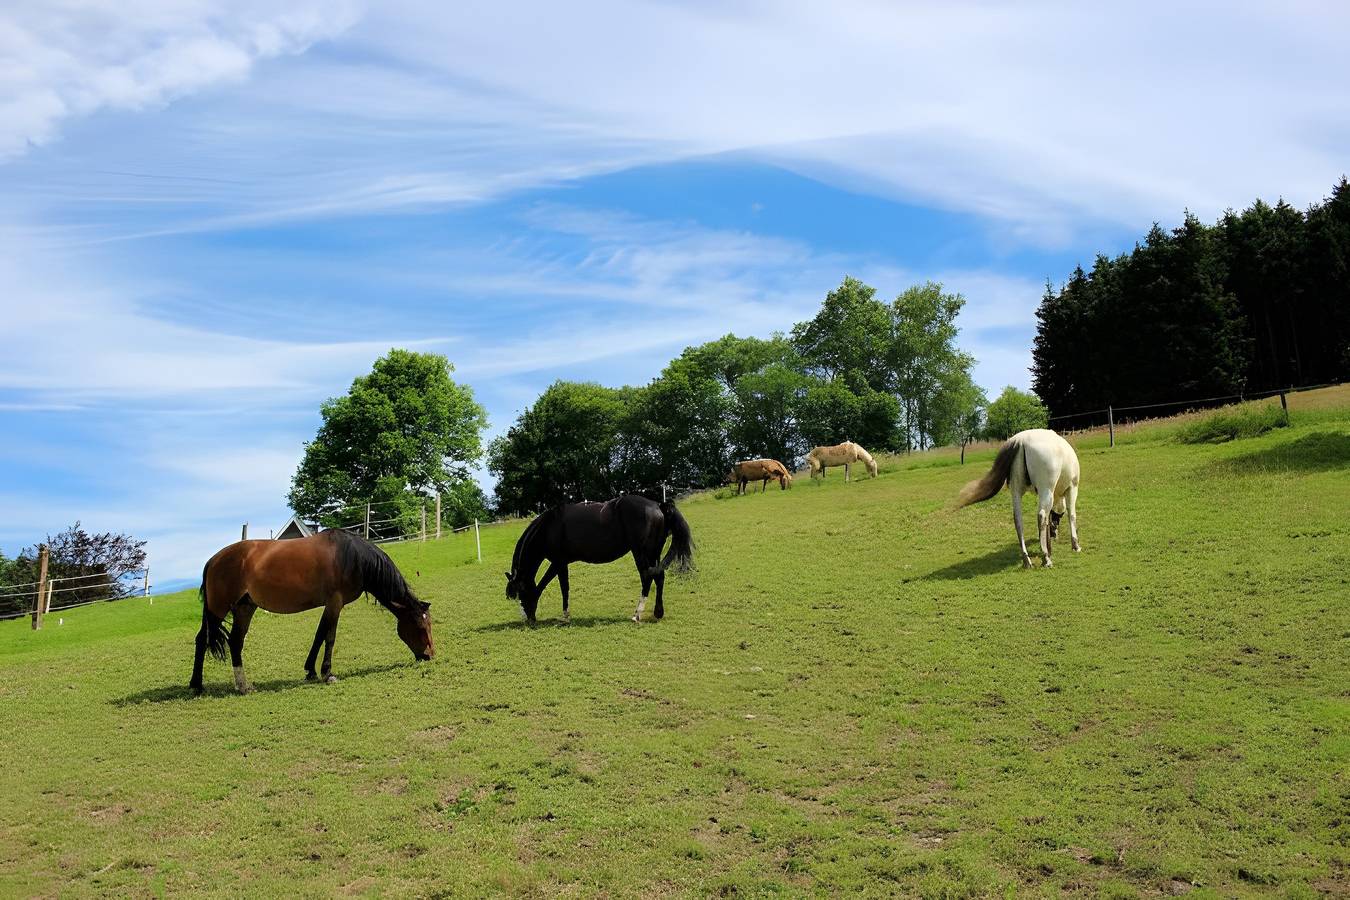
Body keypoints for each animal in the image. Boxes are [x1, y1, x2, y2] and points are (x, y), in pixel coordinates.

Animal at [190, 530, 433, 695]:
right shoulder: (335, 602)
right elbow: (329, 637)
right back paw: (196, 685)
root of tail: (213, 560)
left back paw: (243, 686)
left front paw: (311, 671)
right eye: (419, 627)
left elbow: (319, 635)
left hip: (245, 608)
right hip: (218, 608)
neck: (351, 556)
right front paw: (327, 673)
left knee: (235, 642)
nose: (429, 655)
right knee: (202, 639)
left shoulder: (330, 604)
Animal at [505, 494, 694, 625]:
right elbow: (565, 588)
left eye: (521, 593)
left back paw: (637, 614)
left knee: (647, 577)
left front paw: (564, 616)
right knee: (659, 576)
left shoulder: (557, 562)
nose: (527, 618)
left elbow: (549, 585)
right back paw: (658, 612)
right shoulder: (563, 564)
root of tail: (659, 506)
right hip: (653, 553)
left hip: (641, 553)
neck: (550, 526)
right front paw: (566, 616)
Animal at [957, 428, 1081, 568]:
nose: (1055, 535)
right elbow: (1071, 515)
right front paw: (1075, 545)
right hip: (1045, 489)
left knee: (1018, 520)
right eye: (1057, 518)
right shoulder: (1072, 488)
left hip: (1016, 491)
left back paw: (1027, 560)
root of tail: (1021, 440)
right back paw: (1046, 559)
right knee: (1041, 516)